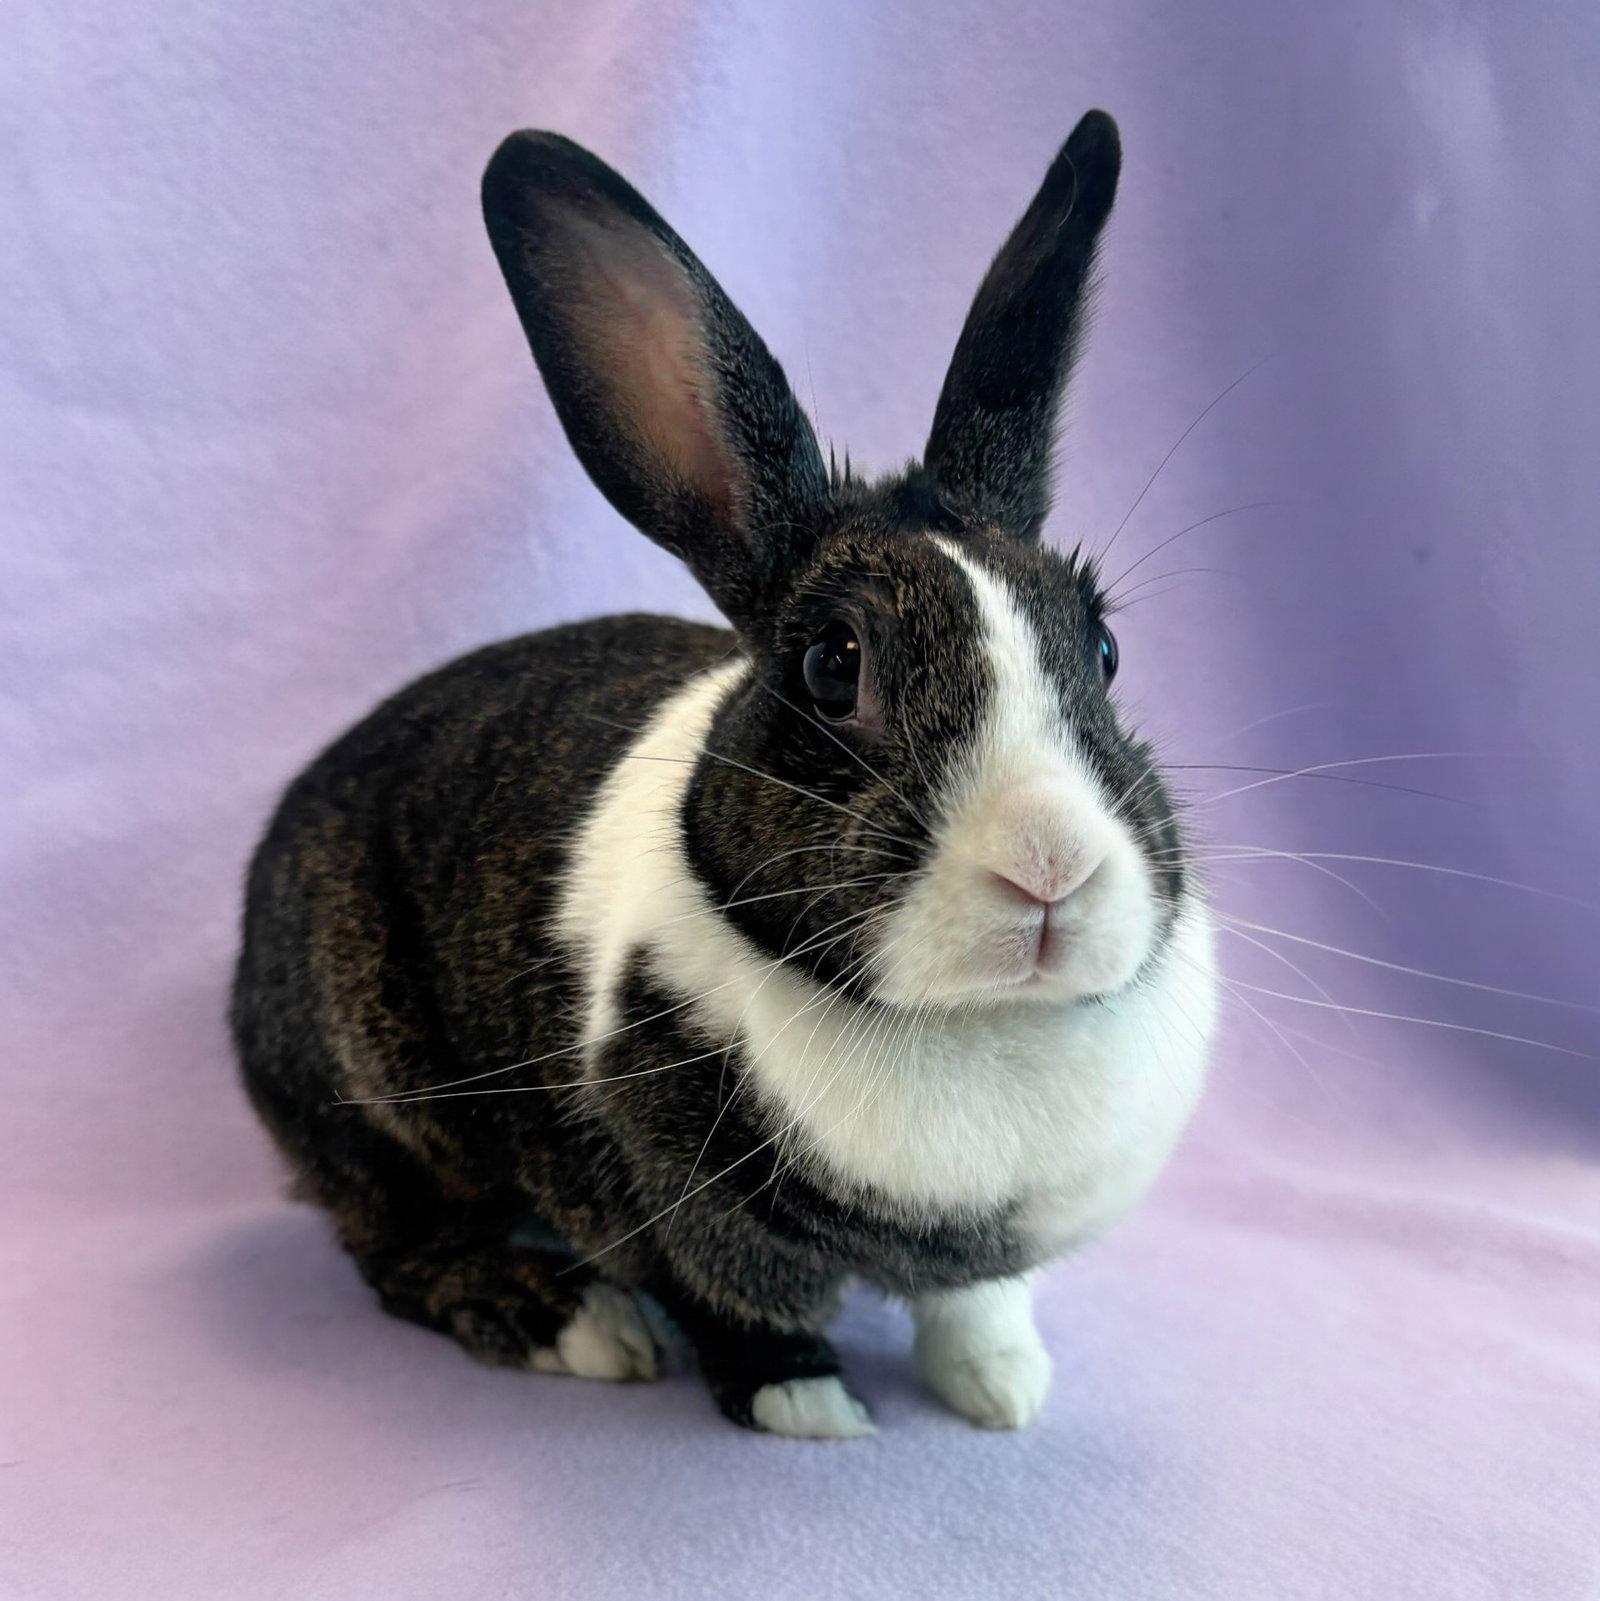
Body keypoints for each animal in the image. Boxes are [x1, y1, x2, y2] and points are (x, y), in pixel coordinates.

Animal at [230, 108, 1217, 1439]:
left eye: (1104, 650)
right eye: (831, 663)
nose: (1048, 869)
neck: (967, 1025)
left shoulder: (995, 1247)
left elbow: (977, 1303)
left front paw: (1003, 1389)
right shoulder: (677, 1198)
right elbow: (735, 1306)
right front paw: (810, 1405)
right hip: (377, 1100)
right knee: (398, 1244)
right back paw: (576, 1322)